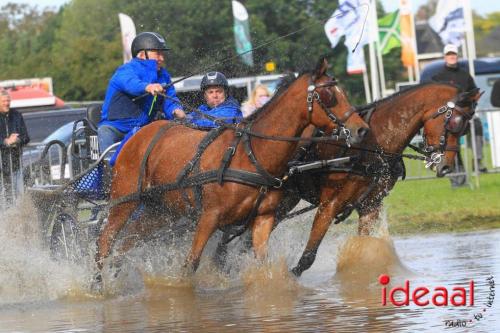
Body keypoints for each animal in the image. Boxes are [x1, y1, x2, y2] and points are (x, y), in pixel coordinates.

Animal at [94, 57, 370, 280]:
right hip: (124, 201)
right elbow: (190, 265)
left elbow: (262, 263)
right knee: (105, 240)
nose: (361, 130)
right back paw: (97, 284)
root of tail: (136, 136)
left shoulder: (263, 219)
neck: (251, 154)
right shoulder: (209, 217)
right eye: (330, 96)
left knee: (127, 243)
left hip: (160, 211)